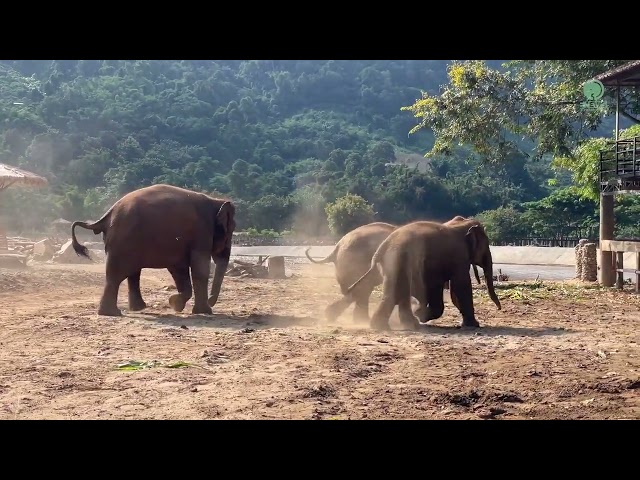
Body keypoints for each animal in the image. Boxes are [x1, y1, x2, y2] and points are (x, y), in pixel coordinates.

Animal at [344, 217, 500, 330]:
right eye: (486, 246)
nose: (499, 308)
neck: (461, 223)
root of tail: (383, 246)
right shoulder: (459, 256)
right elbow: (461, 286)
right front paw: (474, 325)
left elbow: (450, 290)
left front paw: (420, 313)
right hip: (399, 260)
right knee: (398, 292)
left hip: (392, 264)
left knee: (398, 293)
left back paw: (399, 325)